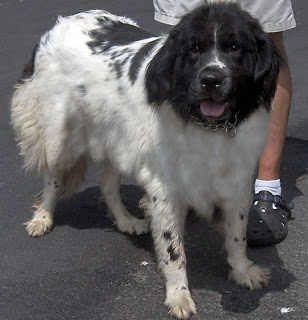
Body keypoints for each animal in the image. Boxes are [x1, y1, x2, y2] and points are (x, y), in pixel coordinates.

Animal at [11, 1, 282, 318]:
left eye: (235, 47)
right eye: (194, 48)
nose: (211, 79)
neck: (205, 125)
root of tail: (58, 25)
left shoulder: (236, 180)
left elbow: (237, 235)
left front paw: (242, 271)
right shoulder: (165, 188)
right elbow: (173, 249)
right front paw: (178, 295)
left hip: (118, 137)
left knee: (107, 183)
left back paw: (126, 221)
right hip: (60, 138)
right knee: (52, 181)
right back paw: (42, 218)